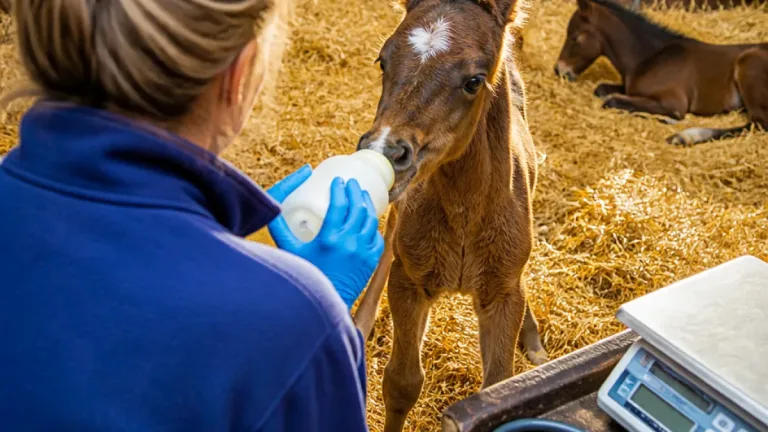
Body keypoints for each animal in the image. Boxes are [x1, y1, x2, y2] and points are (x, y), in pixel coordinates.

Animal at [351, 0, 549, 430]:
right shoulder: (409, 282)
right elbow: (402, 382)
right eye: (382, 60)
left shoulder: (502, 295)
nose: (383, 151)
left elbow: (499, 390)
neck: (465, 213)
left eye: (474, 81)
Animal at [554, 0, 768, 145]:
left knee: (758, 124)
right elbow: (602, 90)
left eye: (574, 37)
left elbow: (611, 101)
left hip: (748, 64)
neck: (650, 57)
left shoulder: (674, 102)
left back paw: (684, 137)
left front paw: (669, 119)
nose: (559, 70)